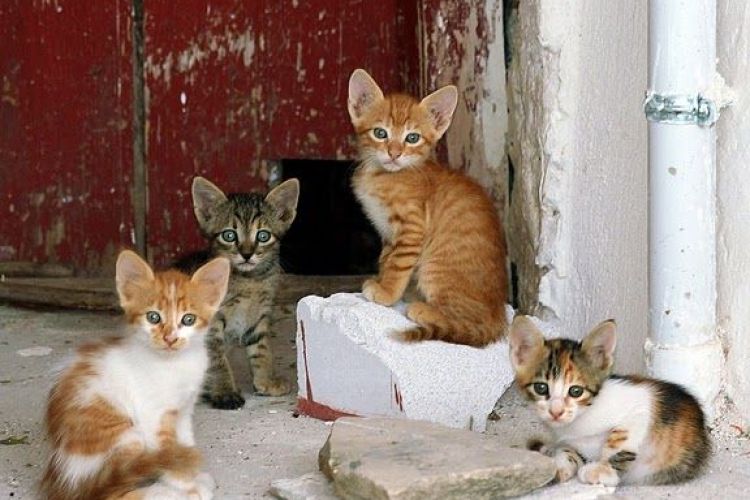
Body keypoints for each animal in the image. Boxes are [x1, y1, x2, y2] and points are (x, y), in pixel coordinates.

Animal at [40, 250, 229, 500]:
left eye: (188, 319)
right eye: (153, 317)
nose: (170, 338)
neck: (174, 364)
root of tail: (65, 486)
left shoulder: (184, 409)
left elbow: (184, 444)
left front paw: (194, 476)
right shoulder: (153, 414)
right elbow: (169, 453)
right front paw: (187, 486)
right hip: (126, 437)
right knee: (114, 493)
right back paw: (163, 493)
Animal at [182, 176, 300, 410]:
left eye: (263, 236)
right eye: (229, 235)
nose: (246, 254)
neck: (249, 281)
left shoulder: (259, 317)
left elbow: (262, 351)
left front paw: (265, 381)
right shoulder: (210, 325)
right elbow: (217, 360)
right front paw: (225, 392)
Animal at [350, 69, 508, 348]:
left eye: (412, 138)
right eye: (380, 133)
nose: (394, 153)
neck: (383, 174)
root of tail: (499, 318)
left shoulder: (412, 227)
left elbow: (397, 265)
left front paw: (387, 292)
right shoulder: (388, 234)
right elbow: (386, 260)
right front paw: (382, 282)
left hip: (436, 267)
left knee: (470, 319)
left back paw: (424, 309)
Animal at [512, 316, 712, 484]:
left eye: (576, 391)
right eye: (541, 388)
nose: (556, 412)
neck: (581, 419)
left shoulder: (641, 404)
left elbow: (618, 439)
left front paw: (603, 470)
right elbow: (567, 450)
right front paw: (559, 464)